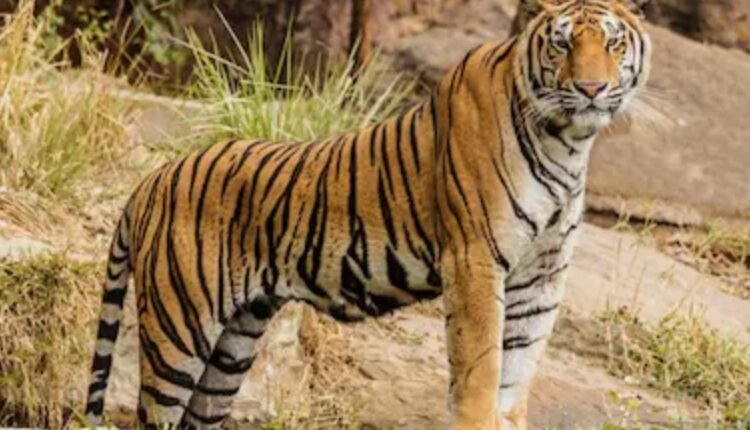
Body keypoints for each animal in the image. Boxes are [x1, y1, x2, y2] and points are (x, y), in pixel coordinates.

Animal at [84, 0, 651, 428]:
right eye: (562, 44)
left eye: (612, 44)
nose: (592, 90)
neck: (567, 142)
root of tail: (153, 179)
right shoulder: (475, 260)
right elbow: (481, 370)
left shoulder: (542, 276)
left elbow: (516, 374)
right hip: (179, 330)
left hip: (233, 344)